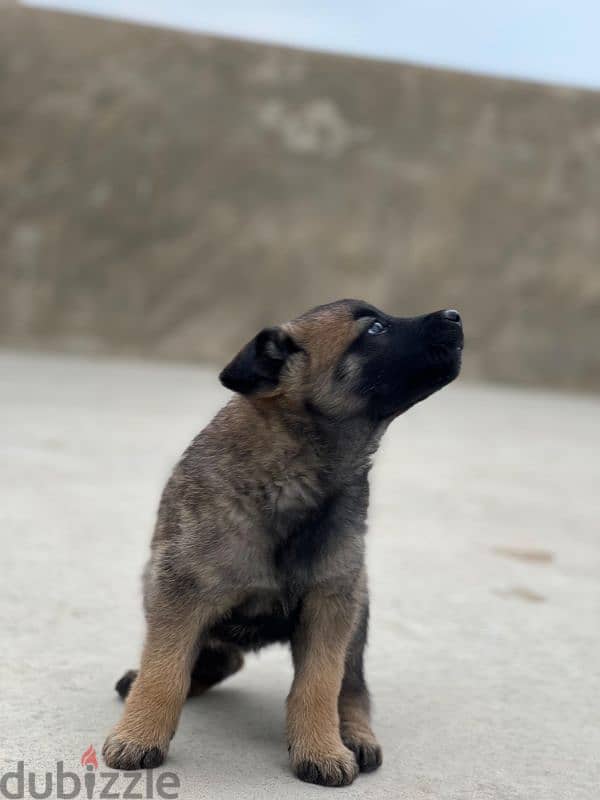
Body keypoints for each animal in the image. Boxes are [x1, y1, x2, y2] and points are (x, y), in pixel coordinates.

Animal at [103, 296, 464, 784]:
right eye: (374, 329)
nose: (455, 315)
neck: (297, 469)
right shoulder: (181, 594)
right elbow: (164, 672)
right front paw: (139, 735)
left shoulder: (331, 603)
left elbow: (320, 683)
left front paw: (321, 748)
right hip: (152, 582)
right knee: (216, 660)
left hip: (359, 606)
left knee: (352, 688)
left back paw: (355, 734)